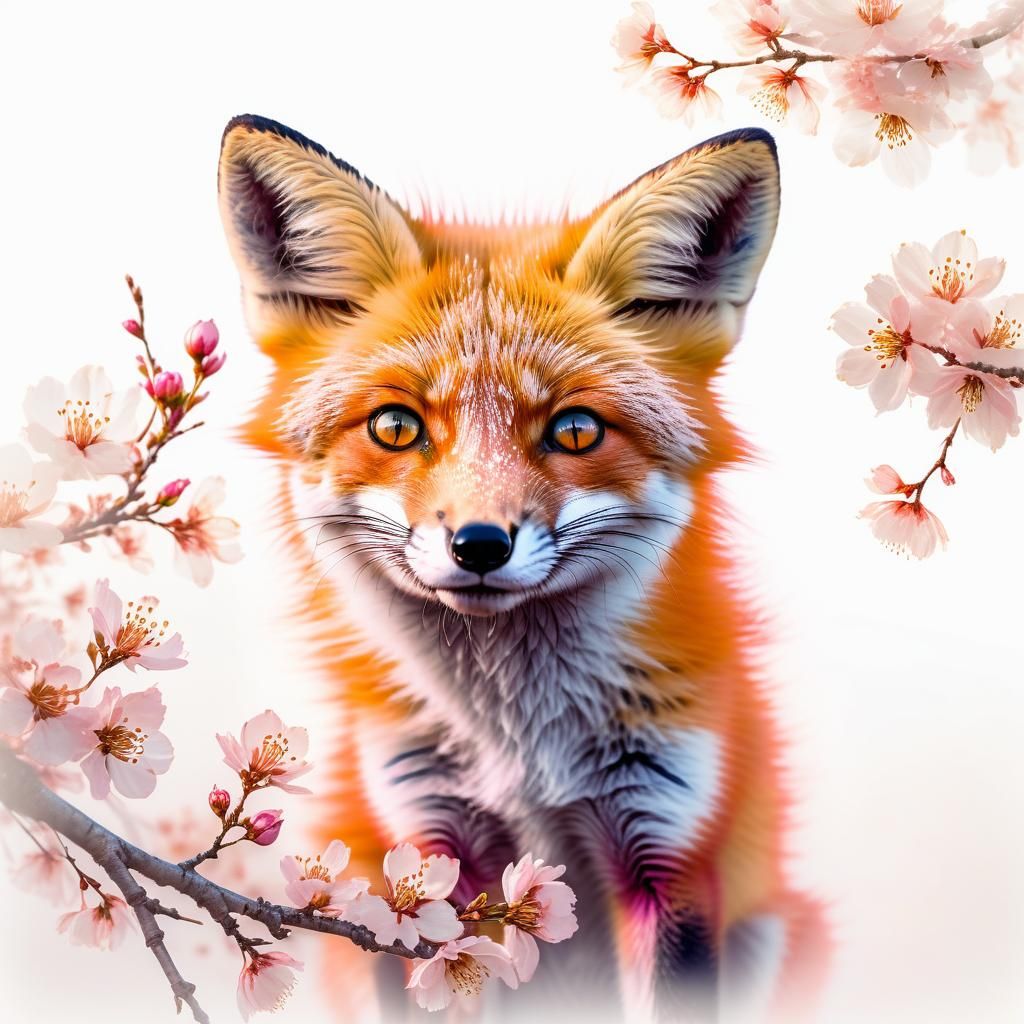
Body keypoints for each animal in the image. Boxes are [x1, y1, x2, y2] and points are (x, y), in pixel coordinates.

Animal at [217, 114, 827, 1023]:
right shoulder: (418, 851)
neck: (519, 750)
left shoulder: (669, 849)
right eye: (396, 426)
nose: (479, 544)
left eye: (575, 431)